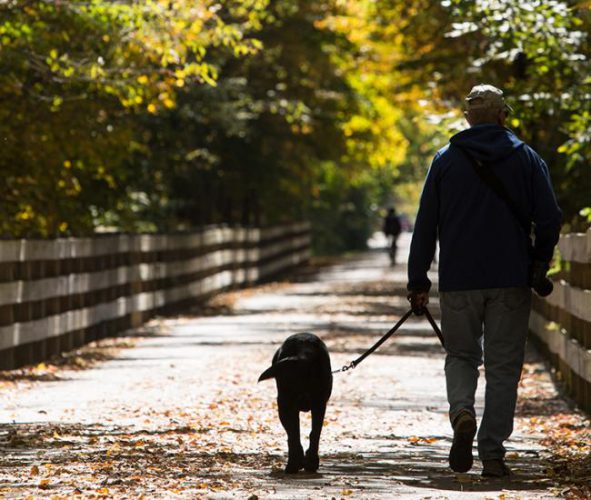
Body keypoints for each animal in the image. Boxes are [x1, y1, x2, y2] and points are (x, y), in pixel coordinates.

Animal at [260, 332, 332, 472]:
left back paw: (295, 464)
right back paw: (306, 462)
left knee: (296, 436)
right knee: (311, 434)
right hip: (314, 404)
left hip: (285, 404)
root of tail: (303, 352)